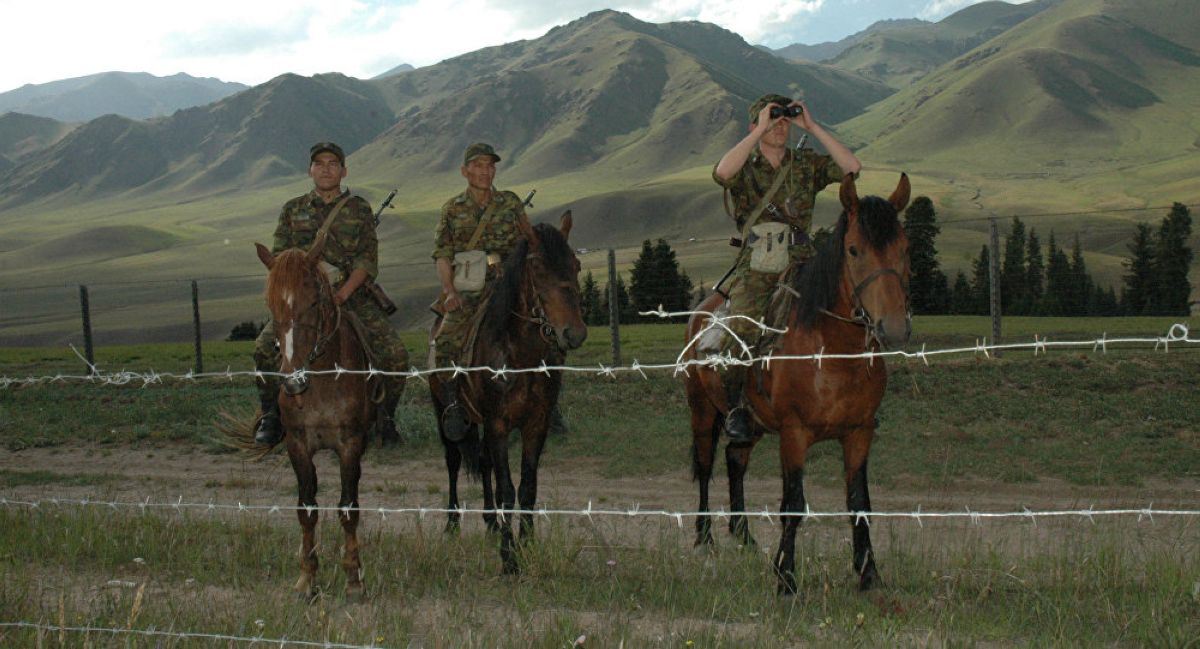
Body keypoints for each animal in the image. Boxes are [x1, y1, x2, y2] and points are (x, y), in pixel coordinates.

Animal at [254, 239, 398, 599]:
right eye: (270, 302)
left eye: (313, 301)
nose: (292, 381)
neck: (319, 381)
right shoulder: (298, 446)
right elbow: (307, 508)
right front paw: (307, 578)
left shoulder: (349, 445)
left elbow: (348, 508)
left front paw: (354, 578)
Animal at [432, 211, 590, 571]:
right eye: (538, 268)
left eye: (575, 265)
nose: (573, 333)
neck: (520, 357)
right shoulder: (498, 424)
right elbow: (507, 487)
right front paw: (509, 558)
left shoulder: (535, 425)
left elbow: (528, 486)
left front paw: (527, 544)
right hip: (446, 414)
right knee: (453, 461)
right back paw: (452, 523)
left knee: (484, 462)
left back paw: (491, 521)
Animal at [686, 170, 907, 592]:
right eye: (854, 250)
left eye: (904, 247)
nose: (893, 326)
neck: (832, 352)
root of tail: (702, 312)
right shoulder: (794, 433)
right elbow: (792, 504)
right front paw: (785, 577)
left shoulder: (860, 432)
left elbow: (860, 503)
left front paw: (868, 573)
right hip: (702, 411)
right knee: (705, 466)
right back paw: (704, 538)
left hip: (751, 423)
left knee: (735, 459)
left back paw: (744, 535)